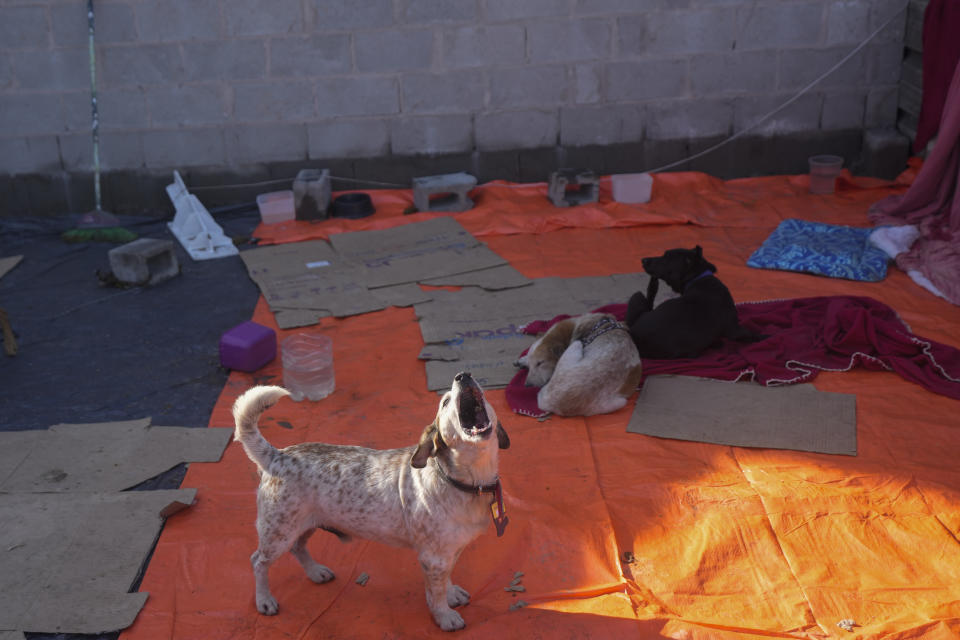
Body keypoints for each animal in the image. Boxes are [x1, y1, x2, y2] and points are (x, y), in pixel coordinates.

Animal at [232, 372, 510, 632]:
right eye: (444, 402)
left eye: (483, 392)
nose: (463, 375)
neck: (465, 482)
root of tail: (276, 456)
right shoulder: (433, 557)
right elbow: (436, 591)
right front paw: (444, 616)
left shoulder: (450, 551)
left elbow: (447, 578)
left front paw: (451, 594)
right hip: (278, 532)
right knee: (258, 561)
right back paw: (264, 600)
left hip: (302, 524)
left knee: (298, 547)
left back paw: (316, 572)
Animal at [512, 312, 640, 418]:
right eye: (531, 365)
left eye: (540, 363)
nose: (527, 386)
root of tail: (551, 402)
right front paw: (524, 360)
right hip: (619, 402)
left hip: (576, 344)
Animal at [628, 244, 760, 358]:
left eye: (666, 257)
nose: (643, 260)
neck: (697, 277)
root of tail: (634, 335)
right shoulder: (734, 328)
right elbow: (751, 334)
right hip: (637, 295)